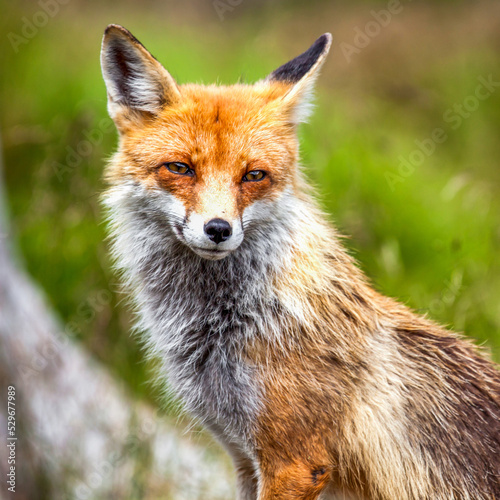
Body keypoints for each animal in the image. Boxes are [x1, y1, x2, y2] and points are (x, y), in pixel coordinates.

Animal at [99, 24, 498, 500]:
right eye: (179, 168)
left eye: (254, 175)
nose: (218, 229)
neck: (229, 322)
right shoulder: (243, 457)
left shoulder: (295, 462)